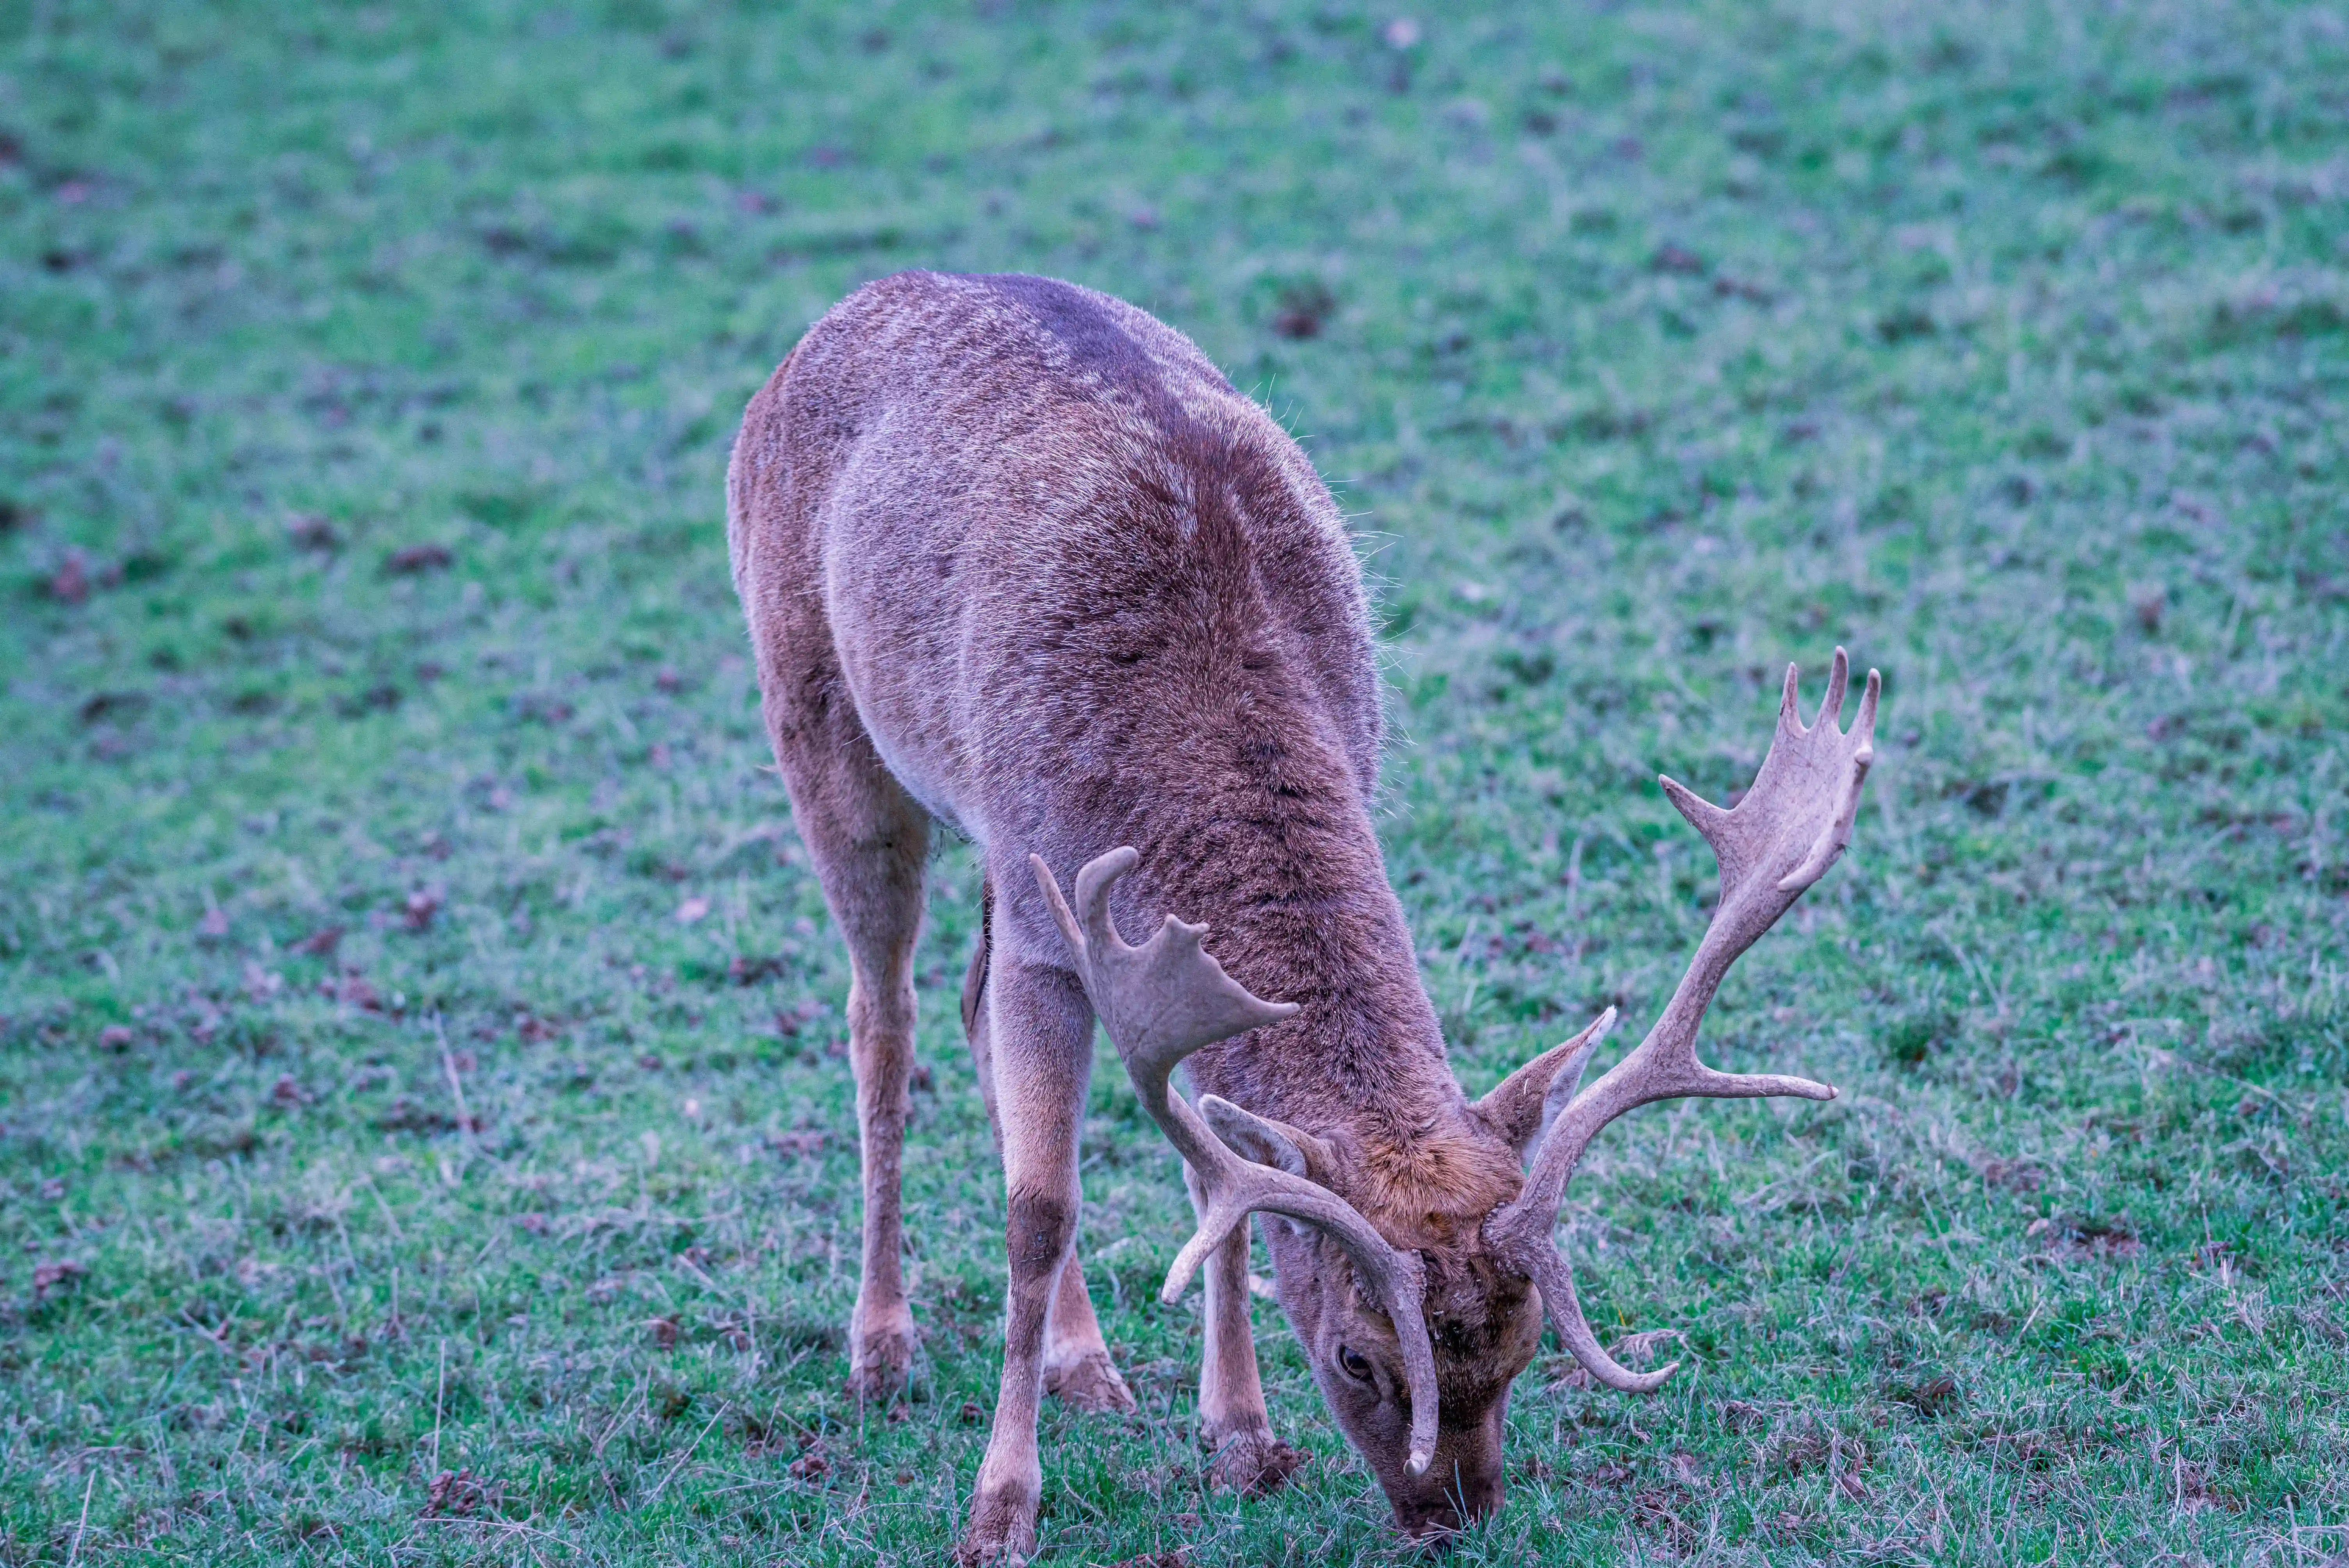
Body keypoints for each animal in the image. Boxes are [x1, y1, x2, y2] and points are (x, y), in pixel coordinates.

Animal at [726, 269, 1879, 1564]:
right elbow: (1040, 1207)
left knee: (971, 1015)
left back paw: (1086, 1363)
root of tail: (833, 318)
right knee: (882, 1017)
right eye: (1356, 1357)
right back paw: (881, 1347)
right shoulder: (1043, 905)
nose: (1453, 1515)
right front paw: (999, 1512)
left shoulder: (1145, 948)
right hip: (823, 729)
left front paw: (1239, 1437)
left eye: (1526, 1342)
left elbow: (1213, 1168)